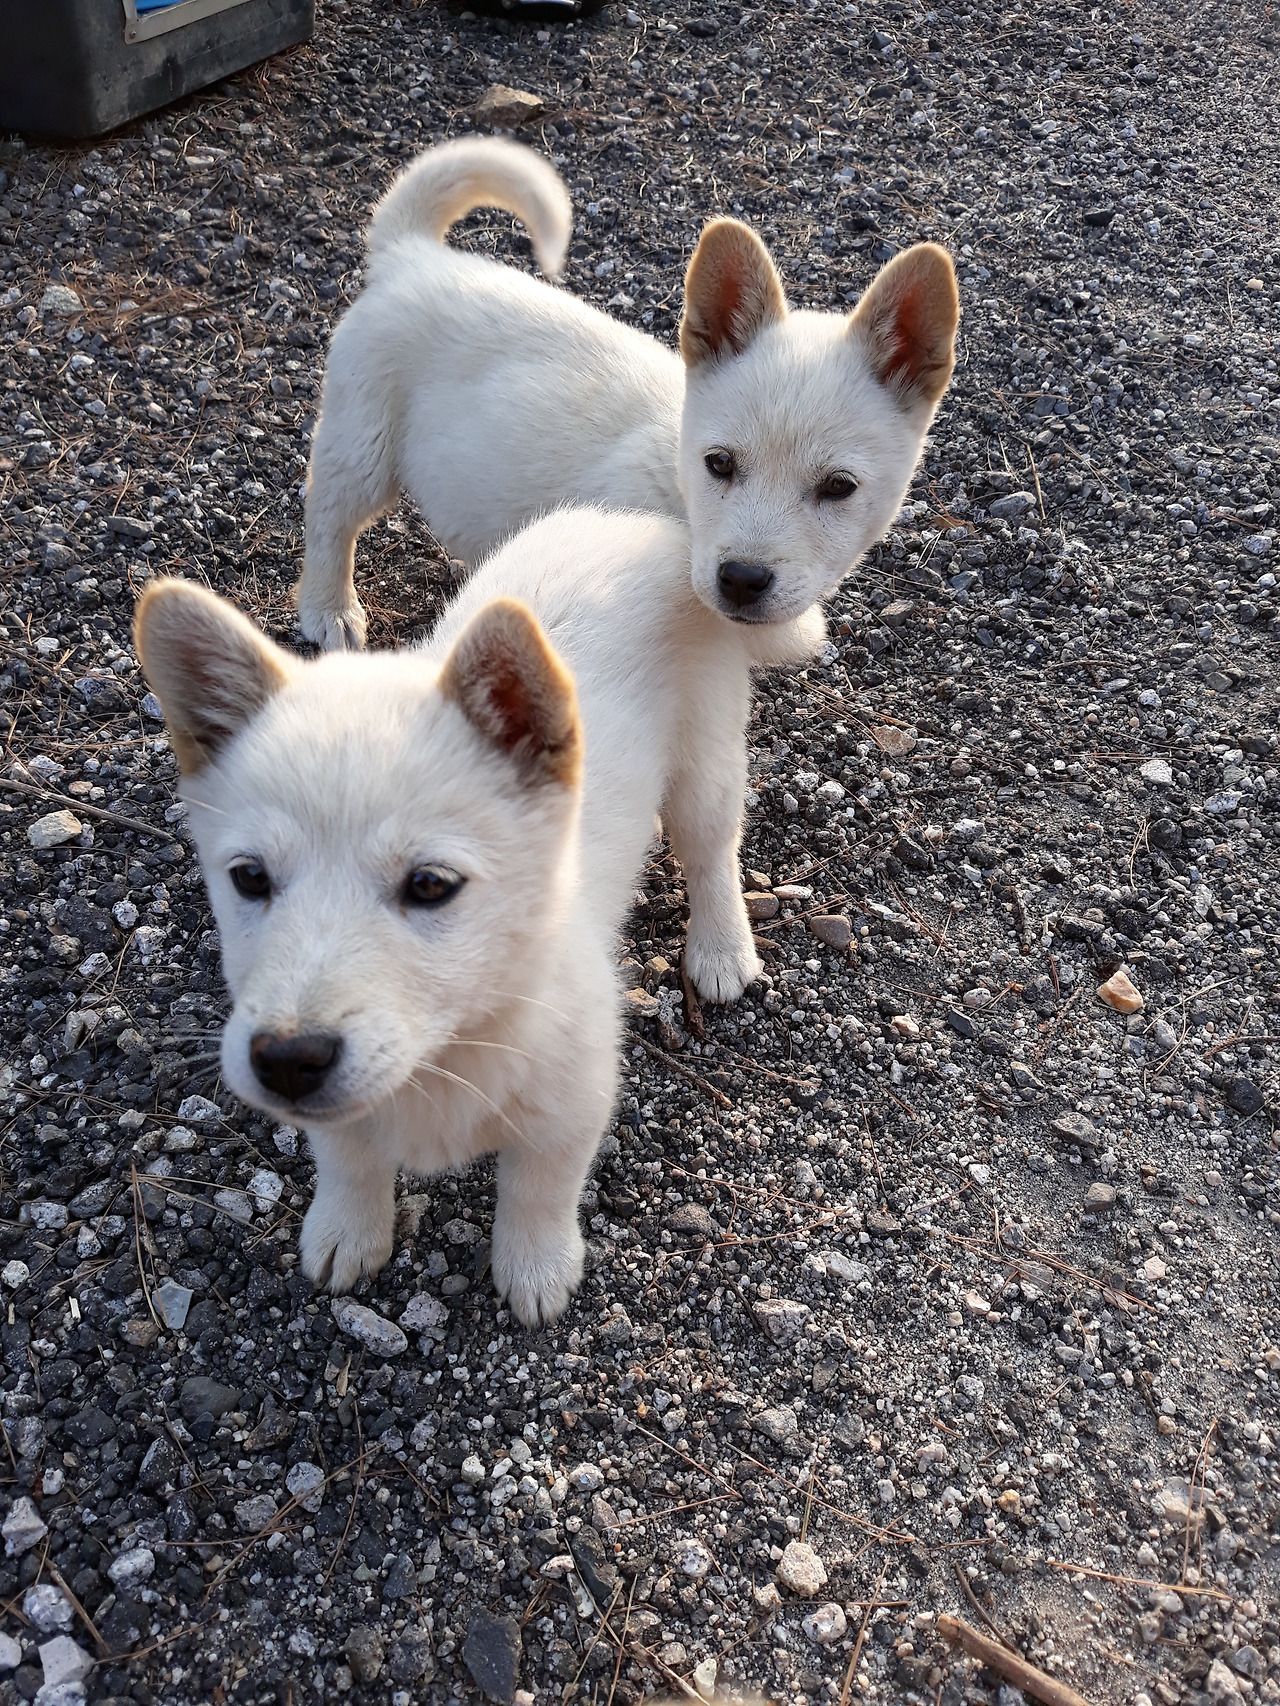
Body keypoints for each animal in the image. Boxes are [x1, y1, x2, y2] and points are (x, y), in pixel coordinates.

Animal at [135, 507, 821, 1323]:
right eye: (248, 878)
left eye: (431, 885)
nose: (287, 1060)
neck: (452, 1041)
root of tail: (643, 522)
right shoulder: (345, 1115)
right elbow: (347, 1158)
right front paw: (347, 1227)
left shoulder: (573, 1099)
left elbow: (539, 1188)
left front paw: (535, 1268)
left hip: (706, 758)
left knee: (712, 851)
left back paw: (720, 949)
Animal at [296, 136, 958, 651]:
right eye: (718, 464)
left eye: (839, 488)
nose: (741, 579)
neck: (678, 494)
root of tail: (412, 257)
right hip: (362, 447)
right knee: (328, 517)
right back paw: (329, 609)